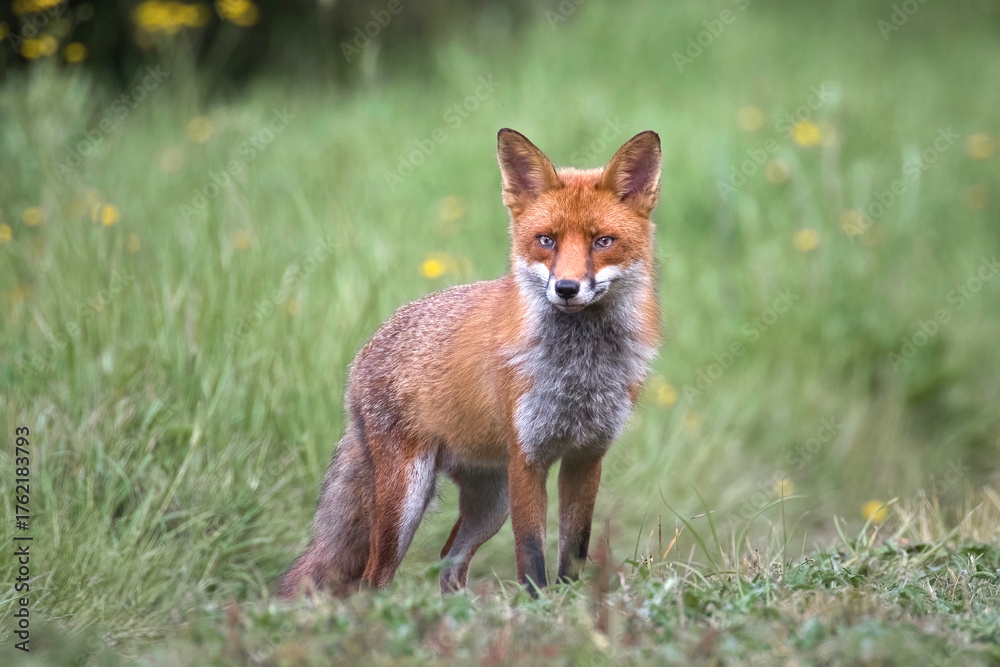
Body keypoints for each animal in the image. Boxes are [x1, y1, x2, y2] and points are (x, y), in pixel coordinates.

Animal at [278, 128, 662, 597]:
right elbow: (530, 555)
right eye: (546, 240)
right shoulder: (527, 458)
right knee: (374, 577)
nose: (567, 288)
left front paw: (569, 604)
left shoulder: (586, 457)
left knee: (448, 562)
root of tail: (365, 351)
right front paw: (537, 606)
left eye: (602, 241)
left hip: (489, 503)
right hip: (408, 499)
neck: (579, 369)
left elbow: (574, 551)